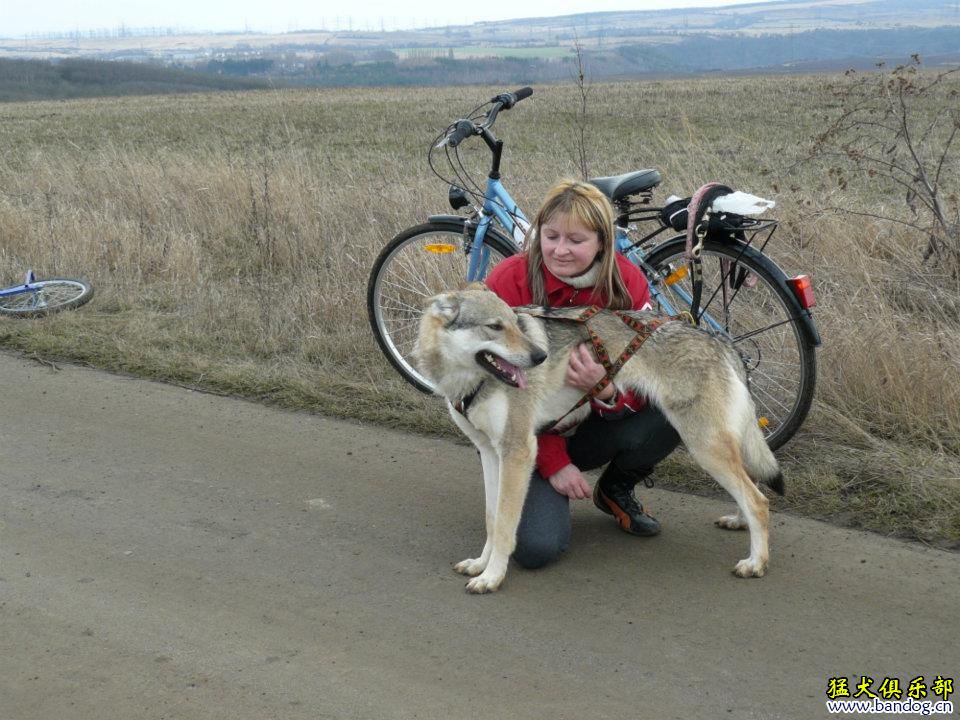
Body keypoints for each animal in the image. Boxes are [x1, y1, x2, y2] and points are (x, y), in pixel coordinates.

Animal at [416, 284, 784, 592]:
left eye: (516, 324)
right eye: (495, 327)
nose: (540, 357)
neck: (469, 381)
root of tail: (718, 338)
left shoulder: (517, 452)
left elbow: (506, 526)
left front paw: (492, 577)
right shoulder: (492, 454)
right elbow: (492, 520)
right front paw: (480, 564)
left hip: (702, 444)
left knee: (759, 501)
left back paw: (756, 563)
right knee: (751, 487)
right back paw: (739, 523)